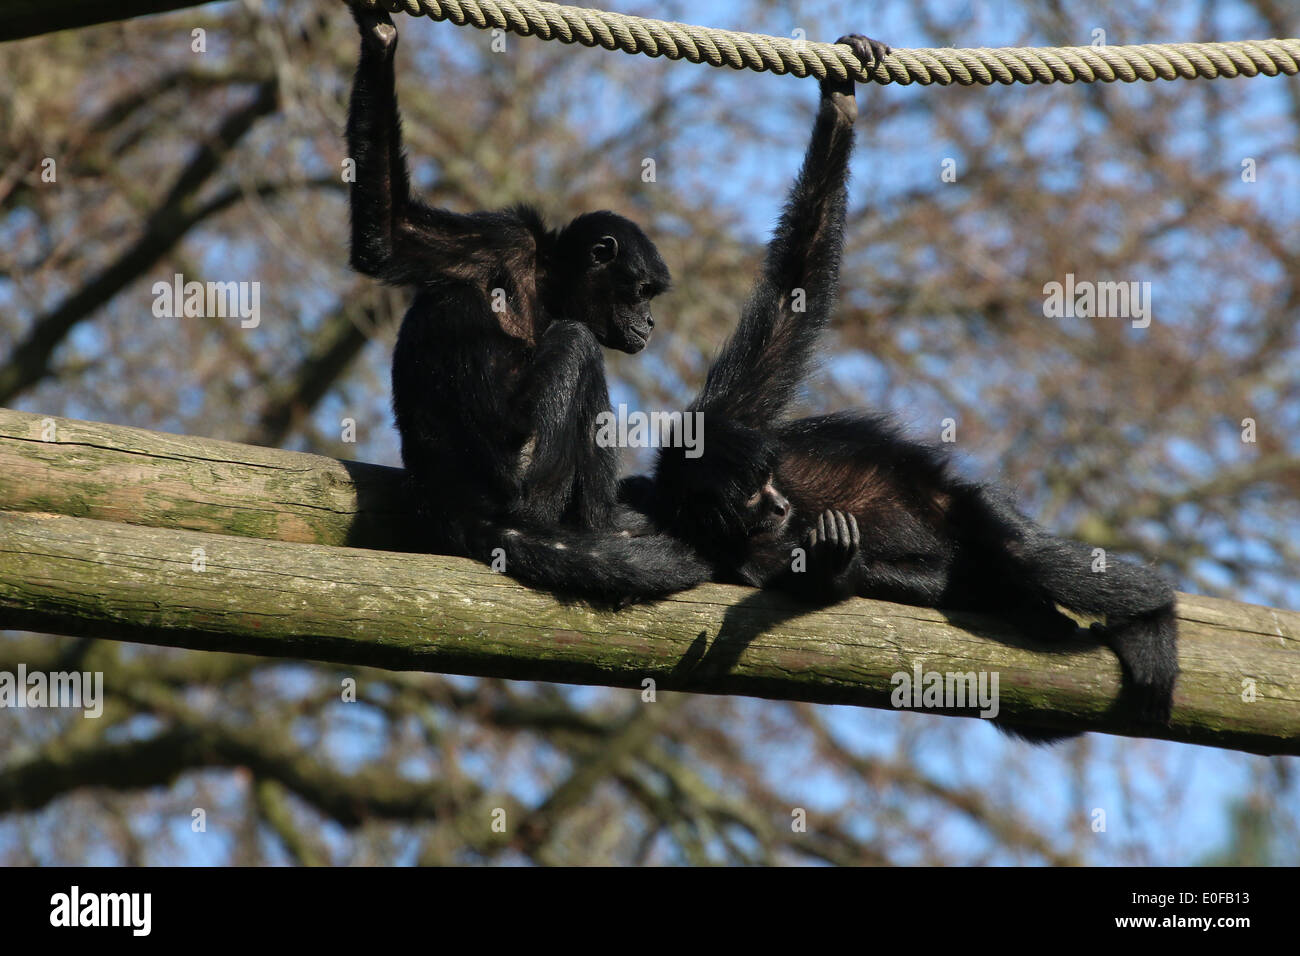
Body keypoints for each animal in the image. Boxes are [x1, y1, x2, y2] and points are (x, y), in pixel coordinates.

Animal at [348, 5, 712, 606]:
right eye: (641, 293)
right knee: (577, 345)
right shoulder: (508, 238)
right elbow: (391, 240)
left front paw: (379, 39)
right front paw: (380, 40)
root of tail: (454, 502)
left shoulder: (504, 242)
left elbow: (387, 238)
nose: (651, 321)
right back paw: (601, 526)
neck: (545, 282)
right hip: (527, 474)